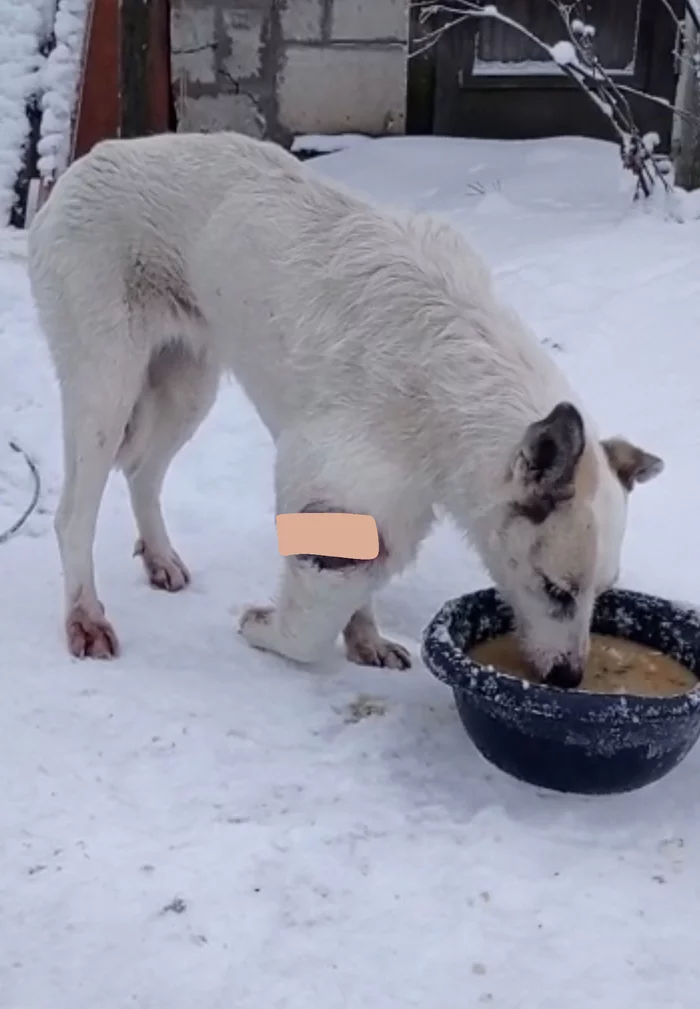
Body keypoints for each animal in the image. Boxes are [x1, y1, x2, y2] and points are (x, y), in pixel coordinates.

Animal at [26, 130, 661, 686]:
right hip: (105, 386)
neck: (450, 382)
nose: (569, 679)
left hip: (188, 388)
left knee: (143, 473)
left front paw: (365, 638)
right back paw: (85, 616)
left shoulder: (374, 506)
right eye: (556, 590)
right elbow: (307, 630)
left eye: (602, 594)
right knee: (73, 516)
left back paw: (159, 557)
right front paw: (267, 630)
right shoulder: (332, 493)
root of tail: (85, 163)